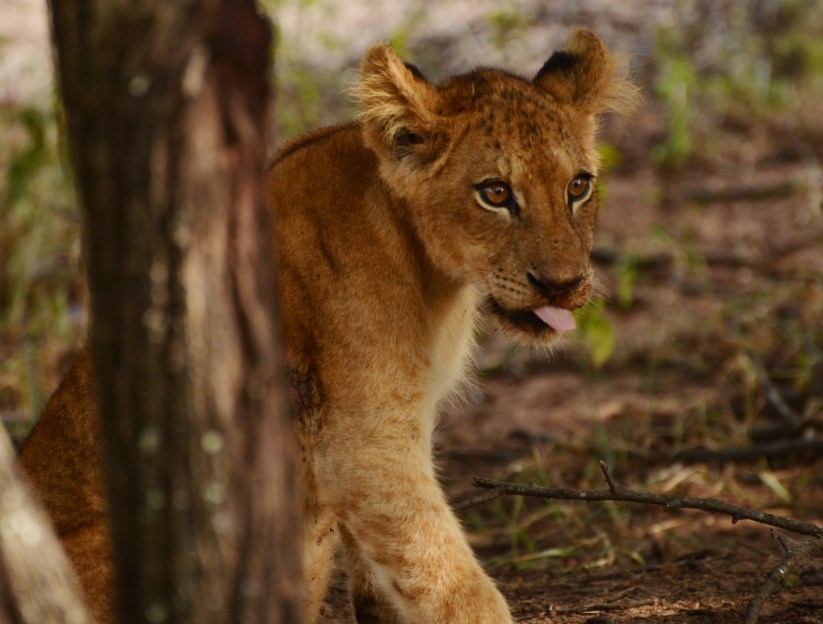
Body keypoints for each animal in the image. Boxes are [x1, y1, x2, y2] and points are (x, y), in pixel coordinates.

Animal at [17, 29, 636, 624]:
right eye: (496, 193)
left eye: (578, 186)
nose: (562, 284)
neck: (431, 274)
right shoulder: (361, 436)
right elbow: (446, 574)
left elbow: (384, 576)